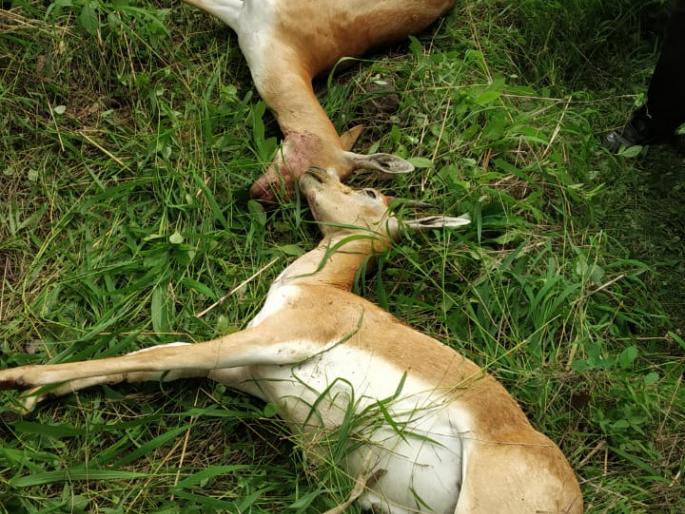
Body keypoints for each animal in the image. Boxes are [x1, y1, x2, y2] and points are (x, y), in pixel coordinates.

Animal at [0, 168, 583, 514]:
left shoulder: (275, 339)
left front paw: (18, 380)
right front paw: (36, 394)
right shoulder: (242, 372)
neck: (321, 288)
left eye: (370, 191)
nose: (315, 171)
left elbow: (156, 353)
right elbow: (150, 360)